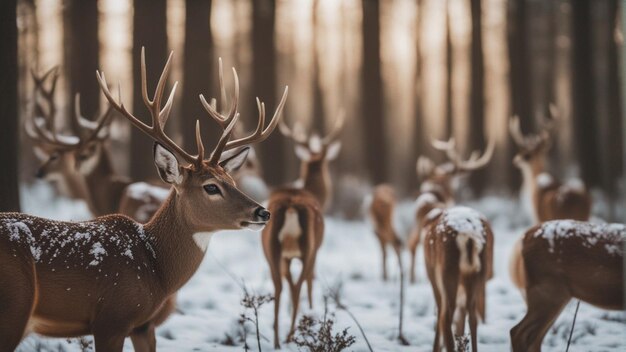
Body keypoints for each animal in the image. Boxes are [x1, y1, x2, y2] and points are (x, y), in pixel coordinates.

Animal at [0, 47, 286, 352]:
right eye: (211, 187)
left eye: (231, 181)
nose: (262, 212)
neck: (156, 269)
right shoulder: (111, 319)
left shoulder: (143, 325)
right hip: (13, 307)